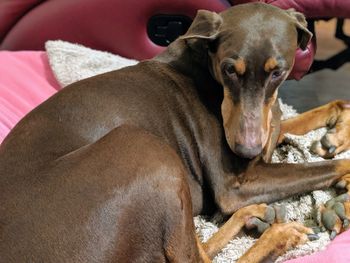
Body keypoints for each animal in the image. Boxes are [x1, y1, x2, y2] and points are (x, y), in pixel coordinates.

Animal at [0, 2, 350, 263]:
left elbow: (326, 108)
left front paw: (336, 134)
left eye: (277, 72)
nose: (244, 151)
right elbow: (333, 164)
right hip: (146, 149)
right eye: (228, 69)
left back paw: (258, 215)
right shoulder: (236, 184)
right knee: (194, 258)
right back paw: (279, 234)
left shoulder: (267, 129)